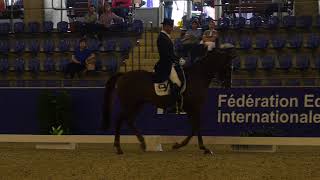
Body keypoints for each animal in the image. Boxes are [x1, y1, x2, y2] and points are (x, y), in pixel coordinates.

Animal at [102, 48, 238, 155]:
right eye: (228, 67)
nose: (228, 85)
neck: (198, 76)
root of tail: (123, 75)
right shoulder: (194, 107)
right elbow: (196, 127)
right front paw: (203, 148)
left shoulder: (191, 108)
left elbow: (195, 127)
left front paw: (181, 145)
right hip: (129, 104)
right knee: (120, 119)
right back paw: (119, 148)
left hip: (137, 105)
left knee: (129, 121)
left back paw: (142, 143)